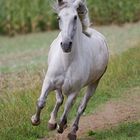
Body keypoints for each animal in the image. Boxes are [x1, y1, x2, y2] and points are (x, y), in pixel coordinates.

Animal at [31, 0, 109, 139]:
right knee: (59, 100)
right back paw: (52, 122)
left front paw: (61, 127)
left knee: (80, 107)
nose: (66, 45)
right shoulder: (49, 82)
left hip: (94, 83)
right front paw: (35, 120)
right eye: (58, 17)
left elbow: (67, 110)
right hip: (58, 85)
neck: (67, 62)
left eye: (75, 17)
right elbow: (41, 102)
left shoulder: (74, 91)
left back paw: (72, 131)